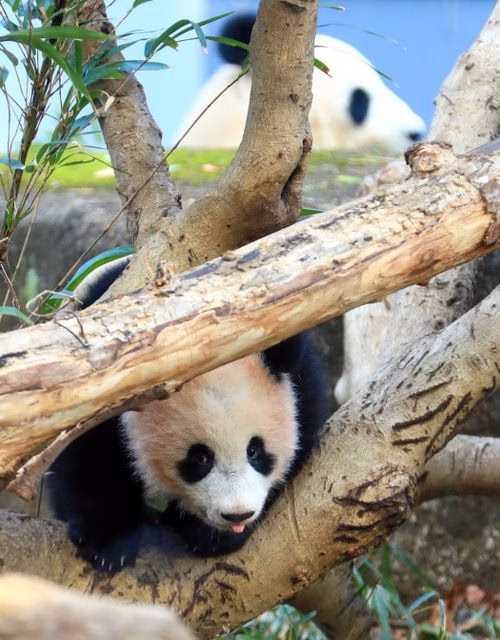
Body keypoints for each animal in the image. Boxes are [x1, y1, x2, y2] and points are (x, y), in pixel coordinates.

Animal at [48, 258, 327, 572]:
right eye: (200, 458)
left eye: (255, 451)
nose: (237, 515)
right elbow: (86, 455)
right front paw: (109, 542)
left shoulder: (299, 377)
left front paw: (206, 535)